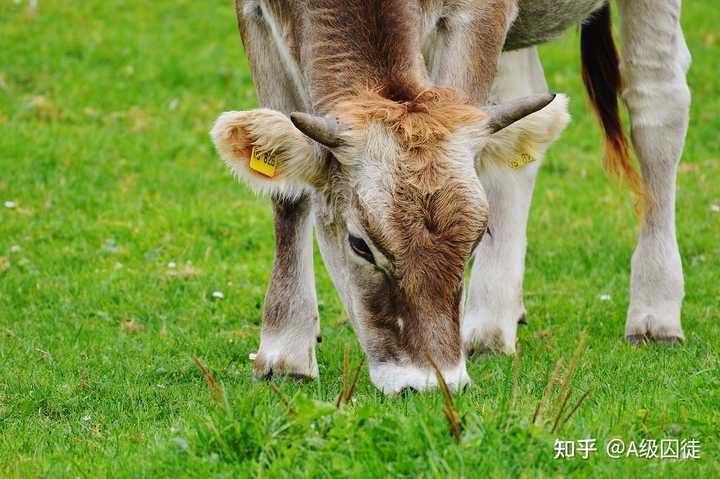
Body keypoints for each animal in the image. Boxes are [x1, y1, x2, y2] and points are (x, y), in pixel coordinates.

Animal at [211, 1, 688, 396]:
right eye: (359, 244)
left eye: (477, 238)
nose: (428, 383)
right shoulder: (252, 12)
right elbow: (288, 194)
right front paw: (285, 351)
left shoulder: (480, 14)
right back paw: (492, 322)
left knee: (658, 101)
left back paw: (656, 311)